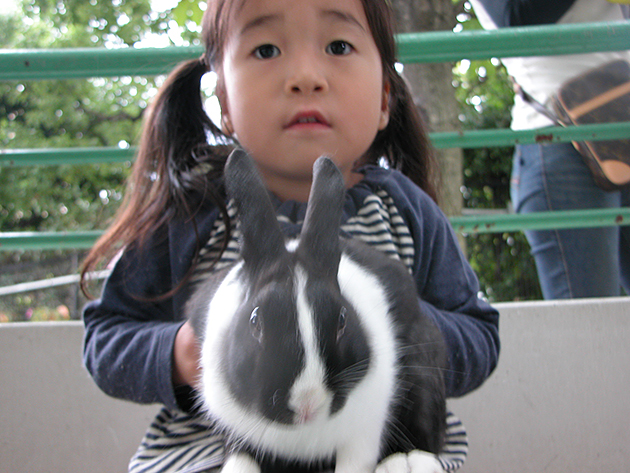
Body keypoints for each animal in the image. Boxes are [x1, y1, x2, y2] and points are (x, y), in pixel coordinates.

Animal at [186, 148, 450, 472]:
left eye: (342, 320)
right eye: (255, 321)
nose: (307, 402)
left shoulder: (362, 436)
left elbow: (353, 464)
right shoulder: (237, 433)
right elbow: (240, 462)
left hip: (425, 367)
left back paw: (408, 462)